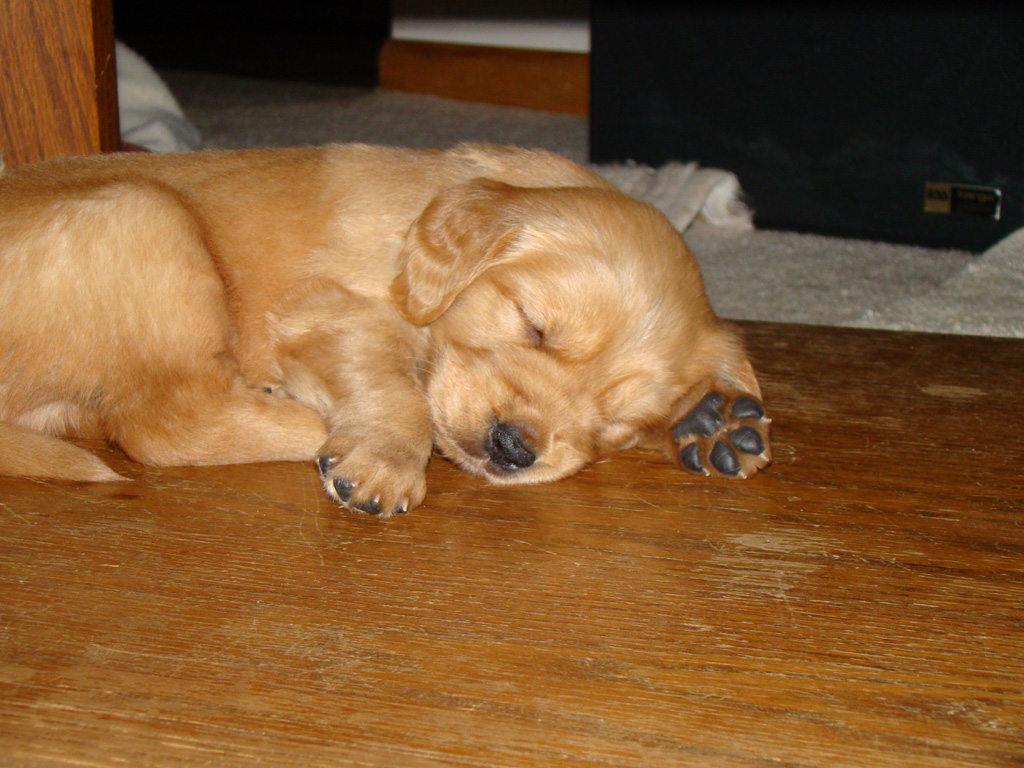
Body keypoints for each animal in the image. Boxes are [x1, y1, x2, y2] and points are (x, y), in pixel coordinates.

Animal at [0, 144, 770, 518]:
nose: (512, 449)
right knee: (159, 427)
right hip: (143, 211)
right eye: (534, 326)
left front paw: (715, 415)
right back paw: (304, 422)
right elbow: (398, 389)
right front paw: (386, 458)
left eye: (615, 423)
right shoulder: (329, 308)